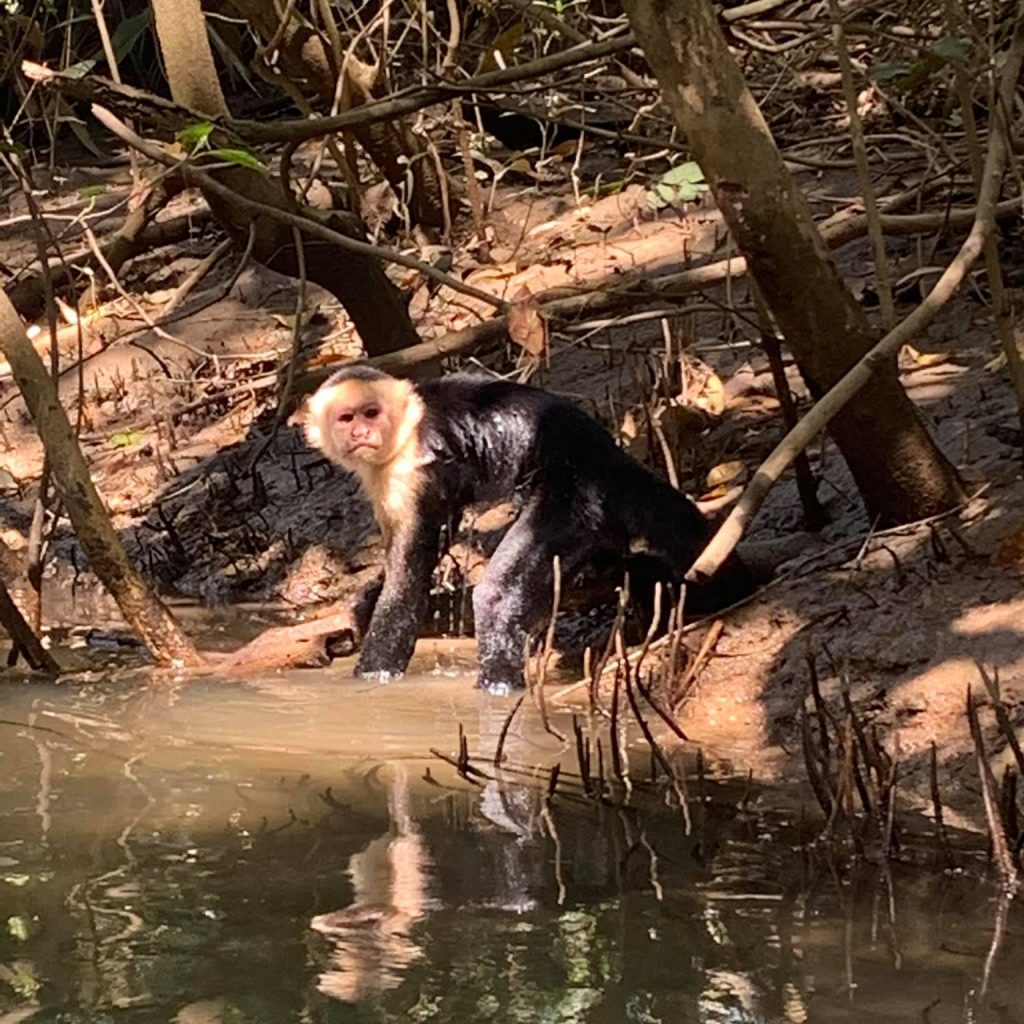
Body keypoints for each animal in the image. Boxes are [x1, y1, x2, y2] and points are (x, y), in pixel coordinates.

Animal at [299, 368, 753, 696]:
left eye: (371, 413)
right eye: (347, 418)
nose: (362, 433)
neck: (405, 428)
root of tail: (605, 456)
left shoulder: (408, 466)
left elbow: (407, 583)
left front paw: (371, 678)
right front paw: (365, 603)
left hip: (573, 495)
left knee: (498, 597)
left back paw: (498, 690)